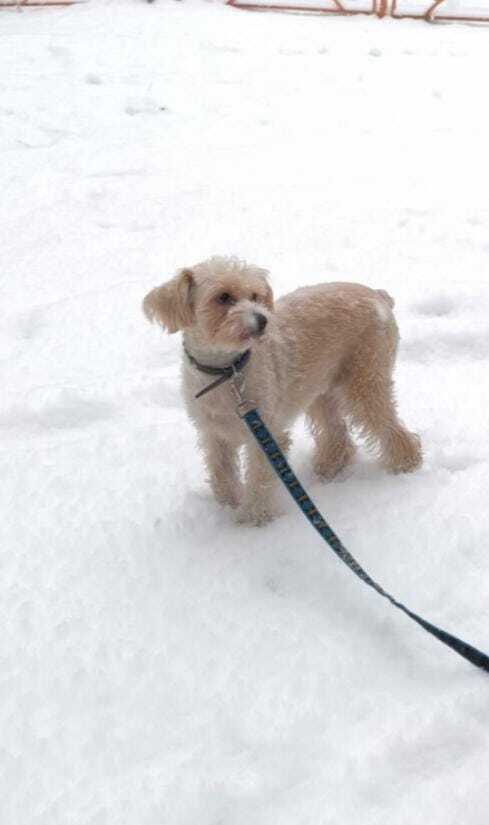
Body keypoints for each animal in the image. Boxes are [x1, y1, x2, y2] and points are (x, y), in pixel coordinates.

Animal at [143, 256, 422, 525]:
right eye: (222, 297)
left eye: (255, 295)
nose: (262, 319)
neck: (228, 372)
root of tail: (378, 296)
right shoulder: (214, 435)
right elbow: (221, 472)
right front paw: (226, 504)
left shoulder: (265, 435)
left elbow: (259, 480)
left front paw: (253, 519)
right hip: (319, 389)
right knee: (337, 433)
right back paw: (329, 467)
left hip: (364, 382)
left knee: (389, 427)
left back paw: (406, 463)